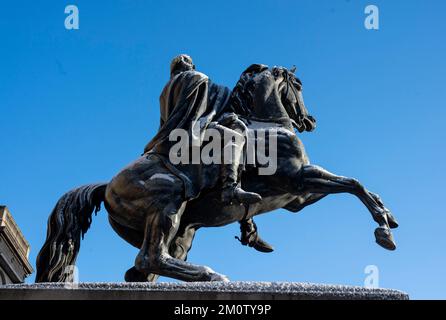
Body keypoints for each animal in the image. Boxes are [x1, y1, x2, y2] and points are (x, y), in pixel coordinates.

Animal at [34, 64, 398, 282]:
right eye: (298, 85)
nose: (309, 120)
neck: (266, 124)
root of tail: (107, 185)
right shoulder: (298, 177)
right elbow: (354, 184)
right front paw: (384, 229)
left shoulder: (298, 196)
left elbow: (356, 186)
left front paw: (388, 220)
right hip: (168, 199)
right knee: (149, 258)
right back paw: (209, 274)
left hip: (181, 234)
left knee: (142, 268)